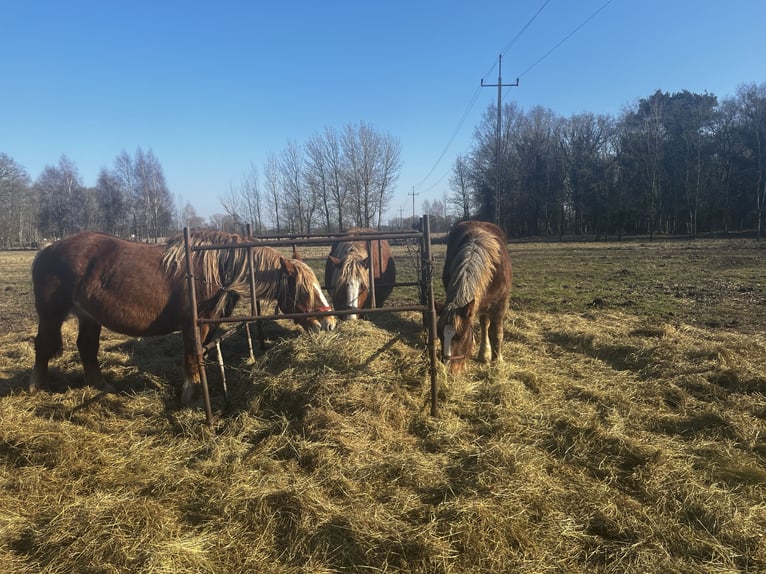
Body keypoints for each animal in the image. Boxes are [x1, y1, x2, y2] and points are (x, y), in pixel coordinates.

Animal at [30, 231, 336, 404]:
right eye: (304, 290)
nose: (329, 323)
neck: (210, 269)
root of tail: (46, 250)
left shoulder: (207, 325)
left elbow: (198, 356)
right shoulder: (193, 326)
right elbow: (191, 358)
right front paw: (192, 397)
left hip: (89, 317)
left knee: (86, 347)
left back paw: (102, 385)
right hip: (51, 315)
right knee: (43, 346)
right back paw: (37, 387)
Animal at [440, 219, 512, 374]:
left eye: (462, 337)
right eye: (439, 334)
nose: (450, 370)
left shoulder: (500, 305)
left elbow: (497, 333)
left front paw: (498, 361)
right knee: (484, 325)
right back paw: (484, 353)